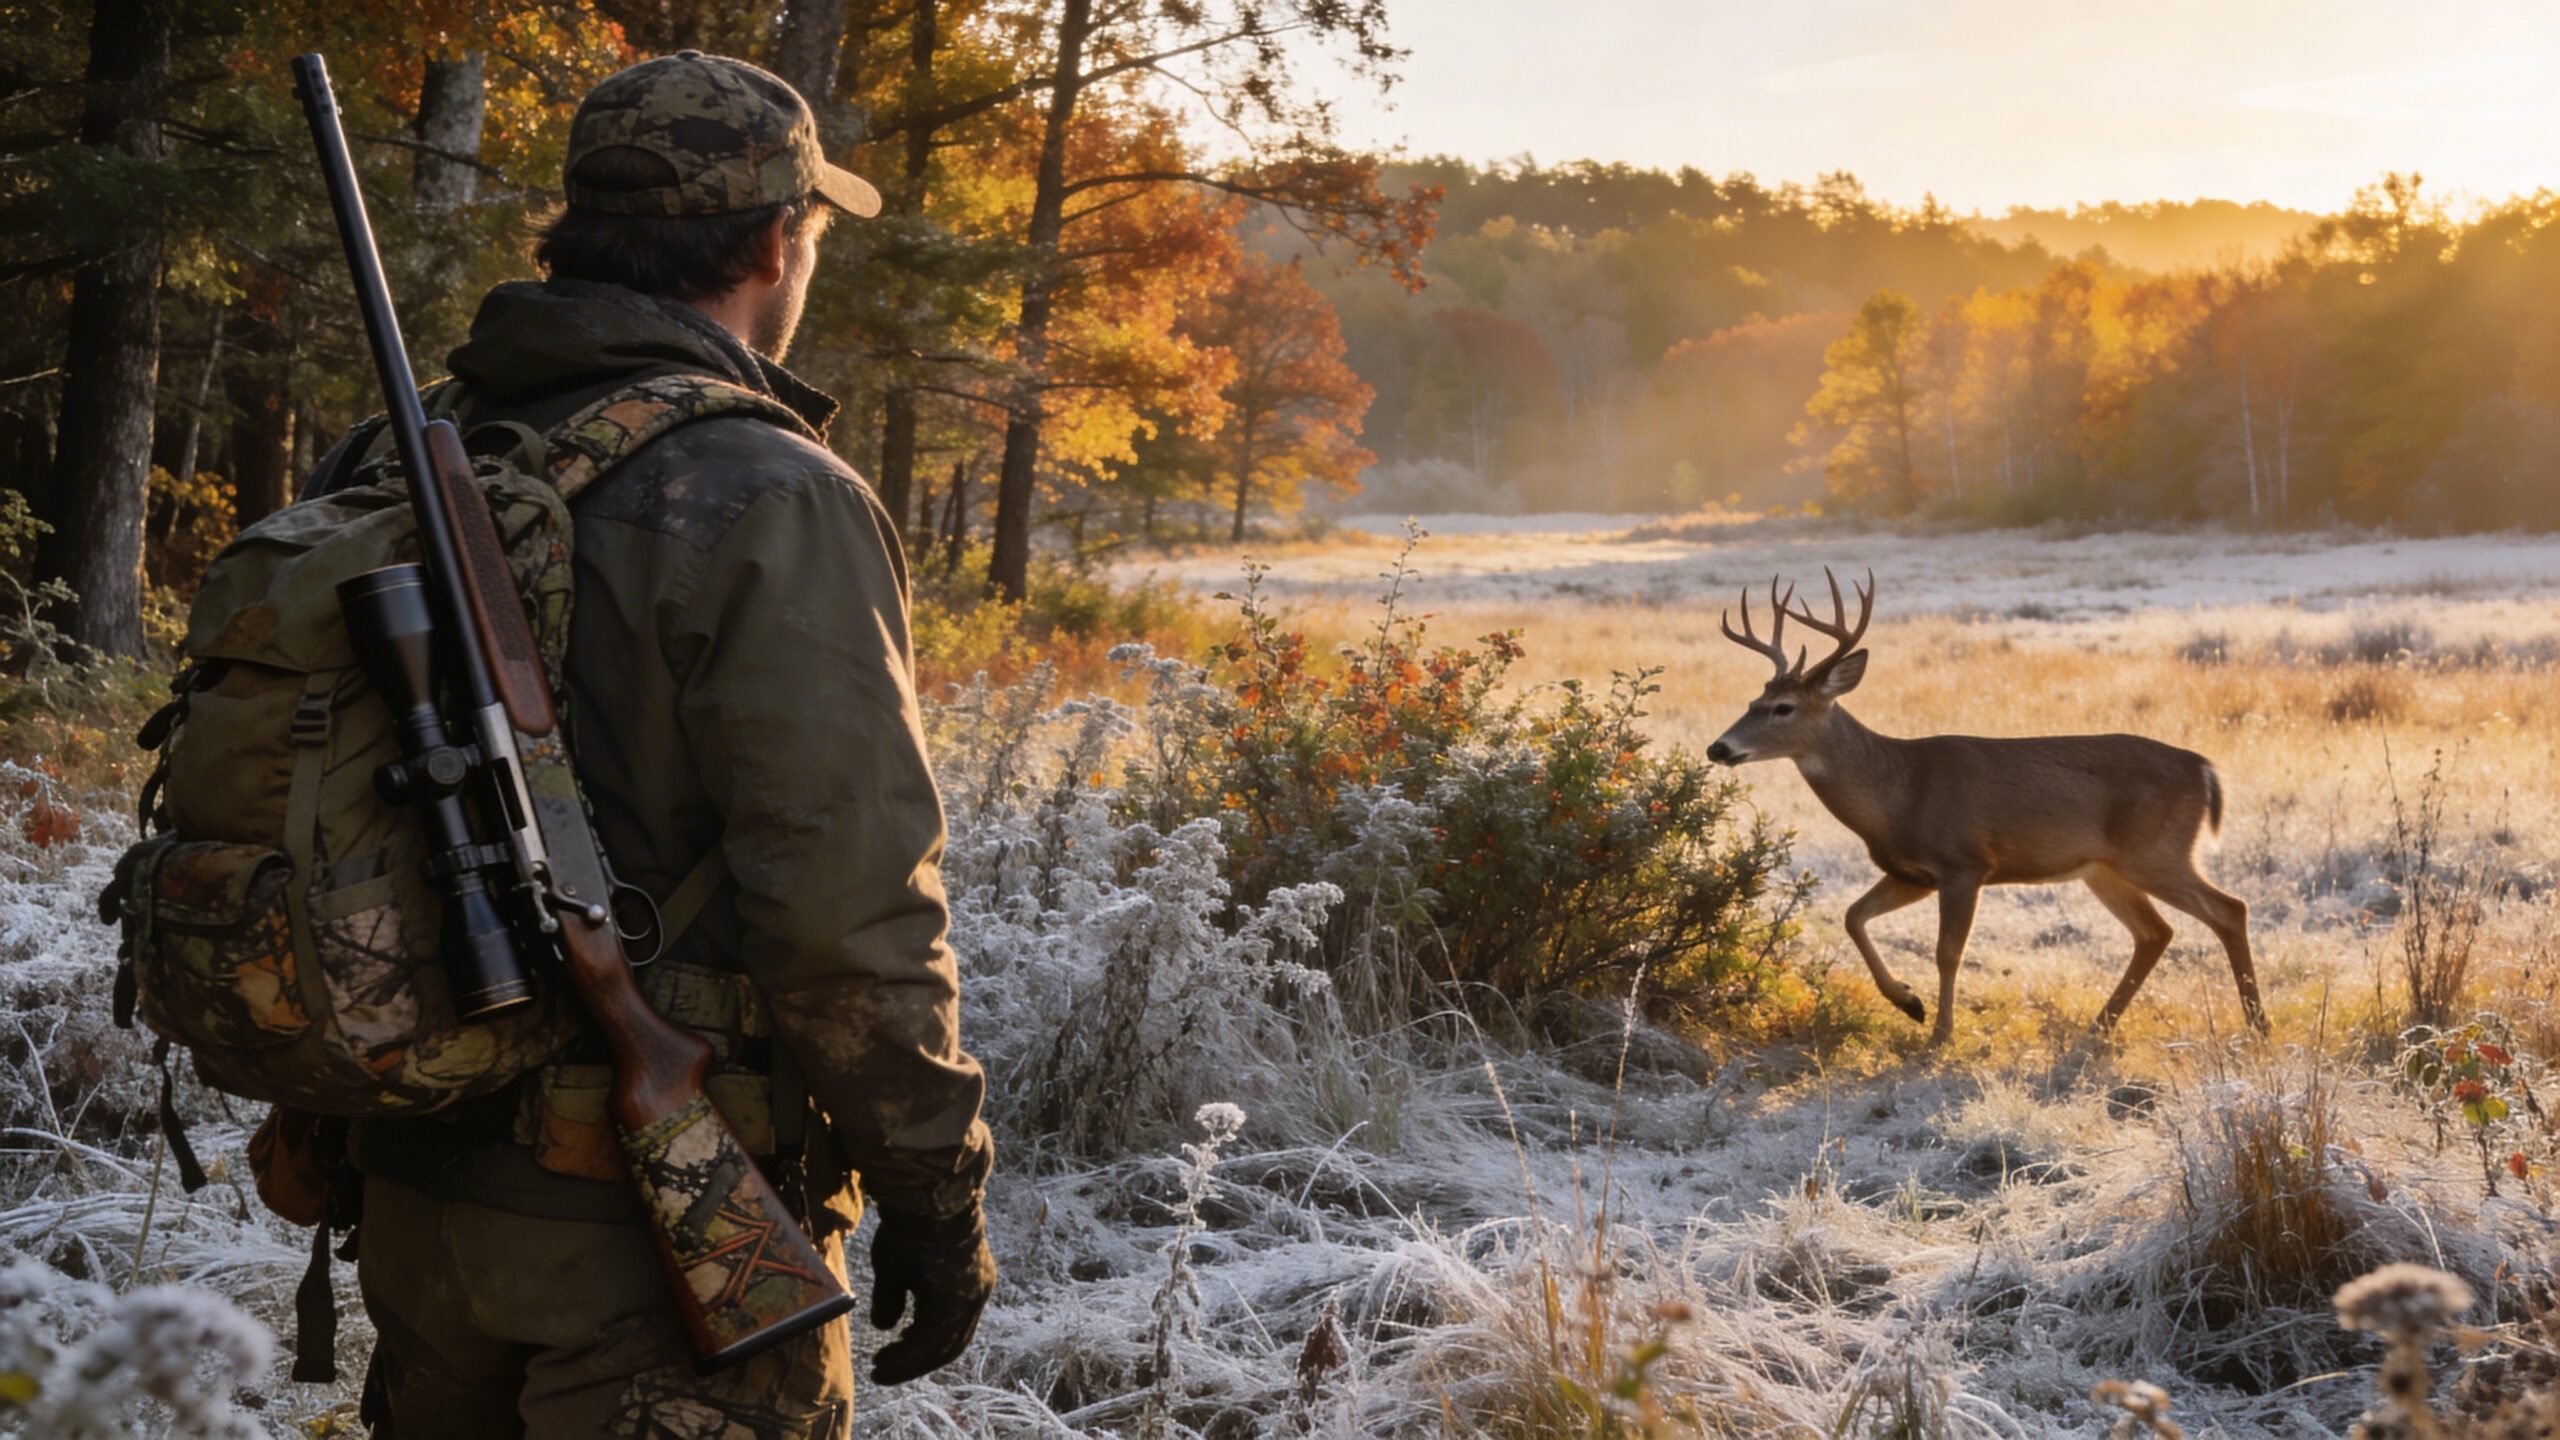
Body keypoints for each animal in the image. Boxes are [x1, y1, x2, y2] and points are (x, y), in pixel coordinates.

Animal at [1707, 569, 2268, 1046]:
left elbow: (1948, 953)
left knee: (2229, 909)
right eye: (1753, 700)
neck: (1897, 793)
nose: (1718, 748)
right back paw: (2099, 1028)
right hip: (2104, 867)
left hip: (2155, 850)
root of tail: (2204, 769)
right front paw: (1908, 1002)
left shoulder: (1964, 862)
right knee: (2156, 932)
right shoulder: (1911, 872)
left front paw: (1939, 1034)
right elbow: (1852, 916)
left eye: (1783, 708)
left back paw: (2256, 1024)